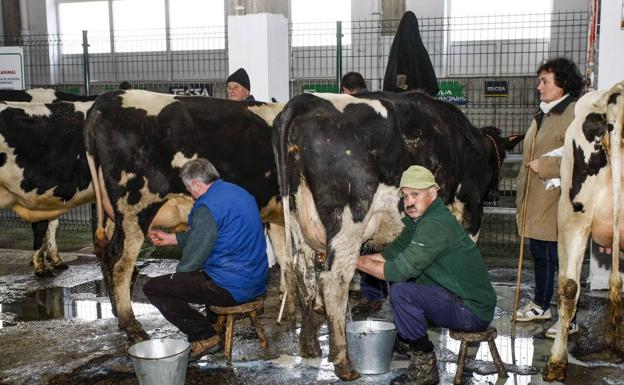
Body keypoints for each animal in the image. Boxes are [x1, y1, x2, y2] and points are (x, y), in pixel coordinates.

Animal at [84, 89, 286, 340]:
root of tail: (107, 99)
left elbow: (286, 258)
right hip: (135, 206)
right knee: (120, 261)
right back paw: (132, 326)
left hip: (114, 212)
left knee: (104, 252)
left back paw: (117, 315)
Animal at [272, 91, 520, 380]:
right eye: (501, 157)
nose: (494, 194)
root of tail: (305, 101)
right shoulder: (471, 208)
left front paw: (404, 341)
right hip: (348, 219)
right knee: (334, 280)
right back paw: (344, 363)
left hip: (299, 222)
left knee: (304, 277)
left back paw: (310, 346)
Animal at [540, 81, 624, 380]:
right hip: (570, 217)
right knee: (568, 286)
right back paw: (556, 360)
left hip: (573, 218)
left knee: (569, 286)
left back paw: (557, 362)